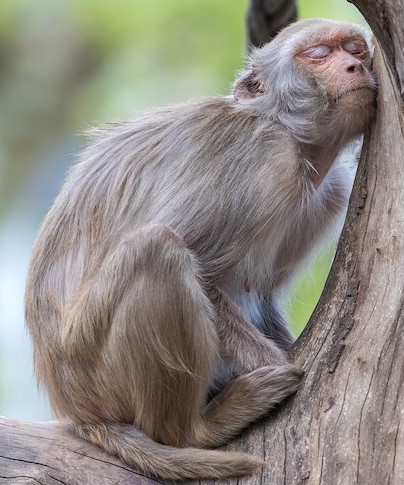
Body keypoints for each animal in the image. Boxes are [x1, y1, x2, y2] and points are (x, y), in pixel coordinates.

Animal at [24, 18, 376, 480]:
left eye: (356, 49)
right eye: (318, 54)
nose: (356, 66)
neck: (291, 136)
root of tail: (75, 408)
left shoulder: (330, 191)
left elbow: (260, 292)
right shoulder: (263, 159)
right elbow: (204, 271)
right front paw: (280, 364)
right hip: (95, 365)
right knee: (158, 249)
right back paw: (195, 430)